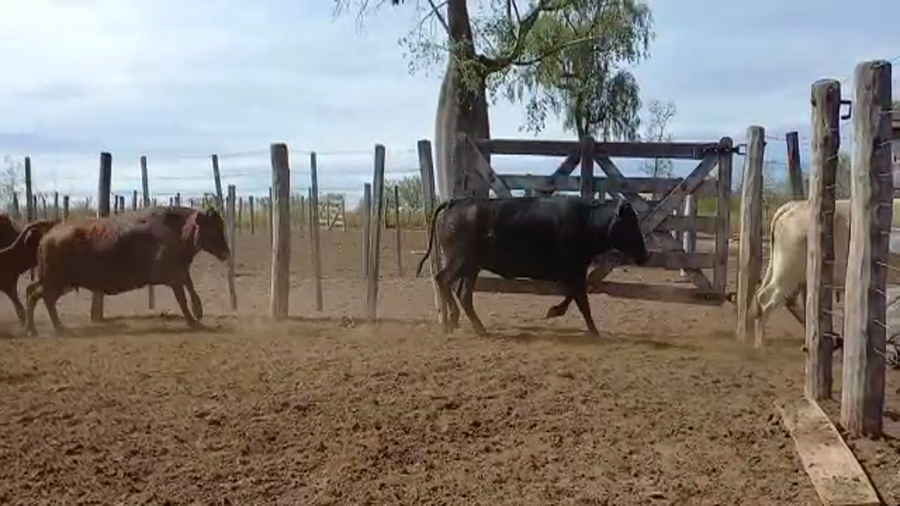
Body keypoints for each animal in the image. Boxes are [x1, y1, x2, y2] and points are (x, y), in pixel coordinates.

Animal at [24, 206, 230, 336]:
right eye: (214, 228)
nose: (227, 252)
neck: (176, 230)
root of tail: (49, 234)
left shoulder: (178, 271)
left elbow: (189, 286)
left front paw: (198, 311)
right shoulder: (172, 275)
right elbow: (183, 298)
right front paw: (194, 320)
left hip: (57, 282)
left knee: (33, 292)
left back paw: (33, 329)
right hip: (57, 282)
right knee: (41, 297)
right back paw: (56, 328)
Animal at [416, 196, 650, 337]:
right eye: (631, 223)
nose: (644, 255)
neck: (586, 221)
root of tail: (456, 202)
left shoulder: (572, 272)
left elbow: (573, 297)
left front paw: (554, 311)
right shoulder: (572, 271)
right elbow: (582, 302)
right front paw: (594, 333)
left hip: (471, 266)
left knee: (462, 293)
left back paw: (476, 327)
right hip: (459, 261)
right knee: (442, 279)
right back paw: (452, 321)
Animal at [752, 198, 900, 344]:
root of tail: (794, 205)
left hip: (794, 274)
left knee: (788, 301)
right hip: (788, 270)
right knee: (765, 299)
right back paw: (760, 343)